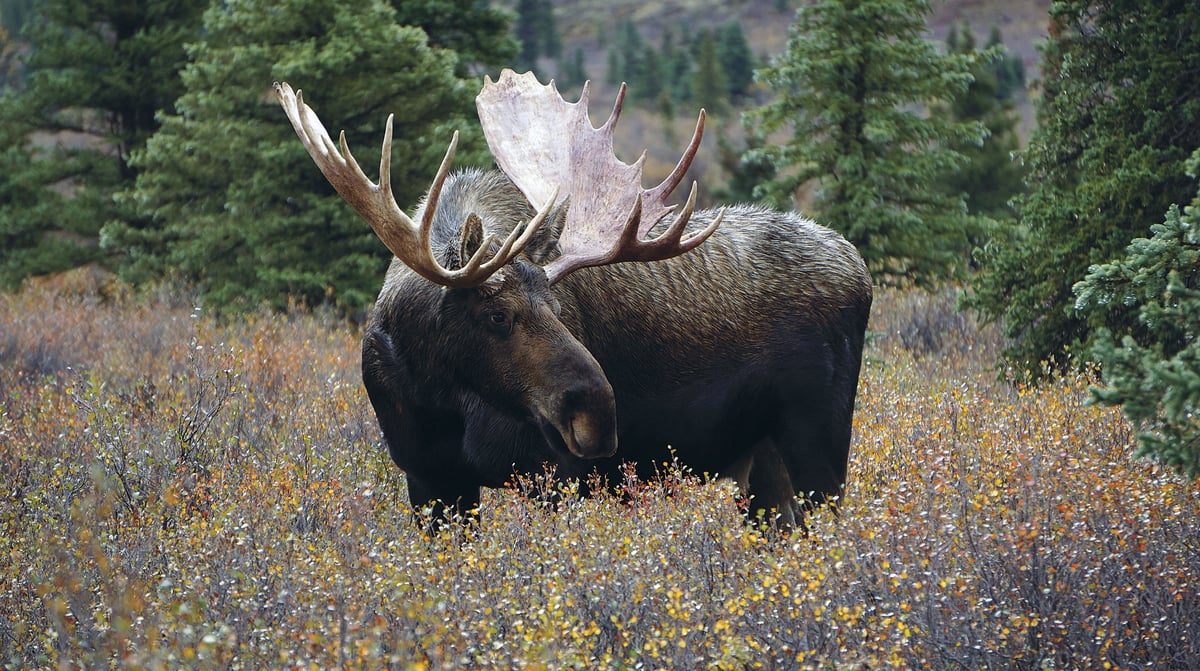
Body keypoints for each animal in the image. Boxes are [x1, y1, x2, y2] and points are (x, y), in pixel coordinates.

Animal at [274, 69, 873, 530]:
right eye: (497, 314)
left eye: (561, 309)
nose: (599, 415)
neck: (439, 395)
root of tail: (859, 266)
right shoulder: (430, 480)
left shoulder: (552, 477)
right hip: (760, 466)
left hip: (819, 447)